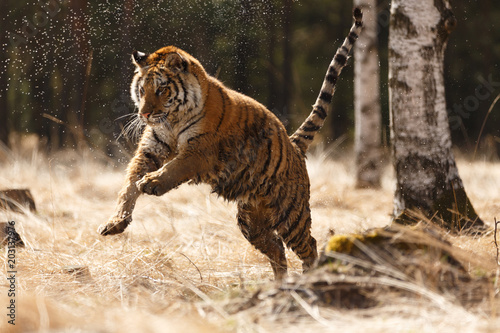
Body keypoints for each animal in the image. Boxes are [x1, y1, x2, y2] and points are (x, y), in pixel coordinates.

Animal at [97, 8, 364, 278]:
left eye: (161, 89)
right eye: (142, 90)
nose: (144, 114)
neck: (172, 119)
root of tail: (294, 145)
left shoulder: (199, 150)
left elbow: (174, 167)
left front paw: (152, 182)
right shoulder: (151, 149)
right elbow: (128, 185)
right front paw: (116, 222)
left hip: (290, 213)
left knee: (309, 245)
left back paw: (309, 277)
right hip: (252, 221)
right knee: (277, 249)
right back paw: (280, 282)